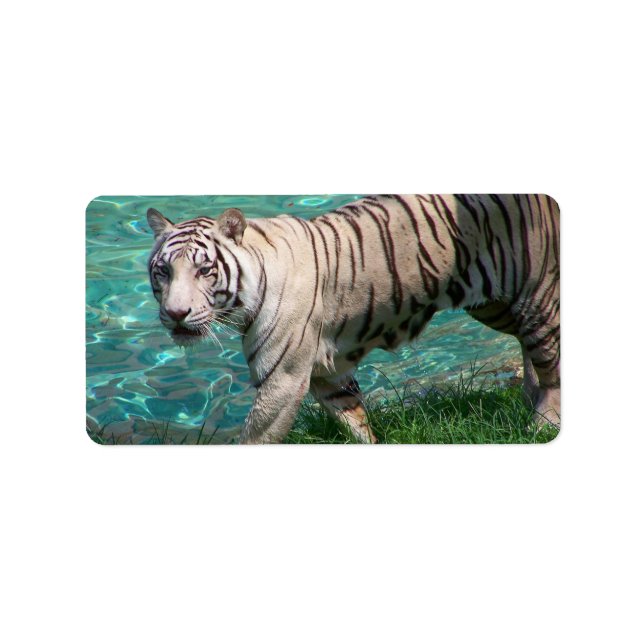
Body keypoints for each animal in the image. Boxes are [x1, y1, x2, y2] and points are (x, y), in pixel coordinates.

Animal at [146, 194, 560, 444]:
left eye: (204, 271)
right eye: (163, 271)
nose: (175, 314)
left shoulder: (283, 380)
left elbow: (255, 436)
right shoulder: (328, 375)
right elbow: (356, 422)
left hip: (535, 297)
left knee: (551, 363)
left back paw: (542, 422)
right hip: (494, 305)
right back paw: (527, 396)